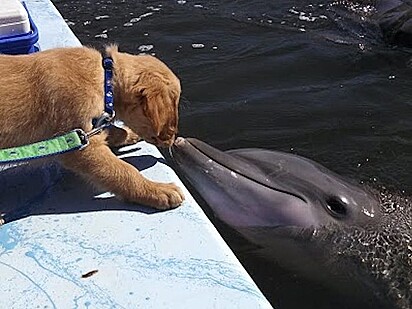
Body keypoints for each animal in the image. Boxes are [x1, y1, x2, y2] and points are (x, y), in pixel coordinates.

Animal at [0, 45, 183, 209]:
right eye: (173, 109)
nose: (174, 141)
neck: (105, 79)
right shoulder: (80, 146)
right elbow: (123, 170)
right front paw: (157, 190)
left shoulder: (87, 131)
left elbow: (112, 130)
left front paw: (129, 134)